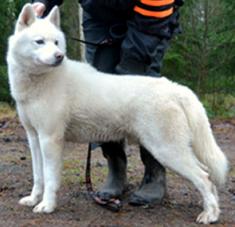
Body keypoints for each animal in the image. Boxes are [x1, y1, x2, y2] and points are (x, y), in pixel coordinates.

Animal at [6, 3, 228, 223]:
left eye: (56, 42)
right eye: (40, 42)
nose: (59, 56)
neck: (39, 82)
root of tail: (176, 89)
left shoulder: (50, 139)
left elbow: (50, 178)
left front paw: (47, 205)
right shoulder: (34, 138)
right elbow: (38, 176)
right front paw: (33, 199)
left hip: (166, 149)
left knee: (204, 177)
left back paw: (209, 215)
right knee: (207, 178)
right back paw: (214, 212)